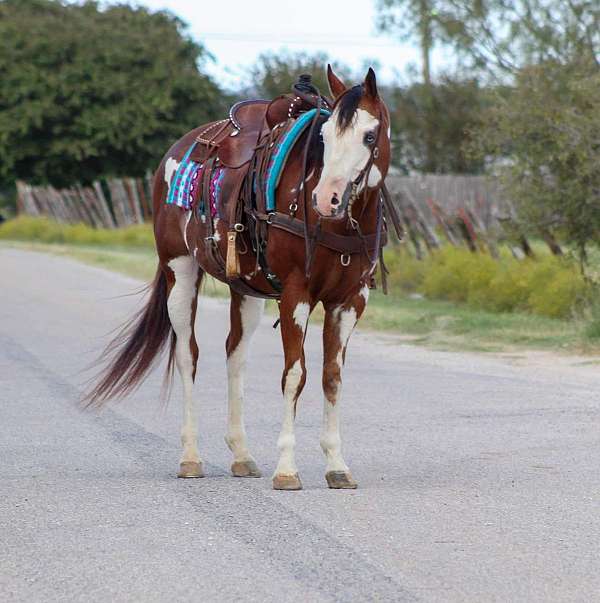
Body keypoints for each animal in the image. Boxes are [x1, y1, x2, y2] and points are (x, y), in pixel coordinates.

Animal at [86, 66, 398, 490]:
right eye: (325, 136)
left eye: (369, 135)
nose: (326, 199)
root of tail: (177, 150)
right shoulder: (296, 295)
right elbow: (294, 374)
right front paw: (287, 469)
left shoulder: (350, 300)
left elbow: (331, 376)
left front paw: (336, 465)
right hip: (179, 272)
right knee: (187, 355)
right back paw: (190, 457)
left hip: (246, 290)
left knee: (236, 355)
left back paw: (242, 455)